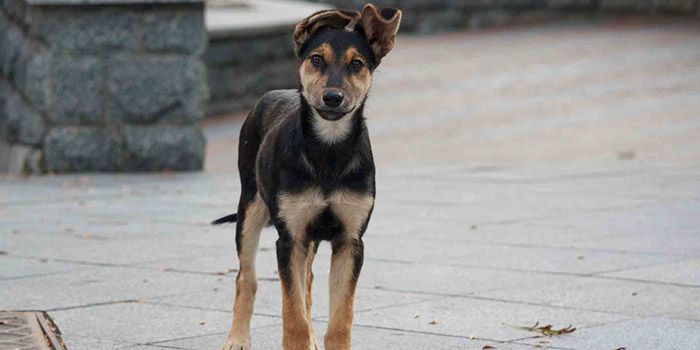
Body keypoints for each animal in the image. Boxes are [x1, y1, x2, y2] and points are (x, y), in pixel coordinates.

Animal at [211, 4, 402, 348]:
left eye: (357, 64)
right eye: (316, 59)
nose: (332, 98)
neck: (328, 152)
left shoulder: (350, 242)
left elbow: (340, 318)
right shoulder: (290, 240)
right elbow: (293, 313)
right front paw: (300, 336)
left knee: (309, 281)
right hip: (251, 209)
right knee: (246, 278)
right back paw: (237, 338)